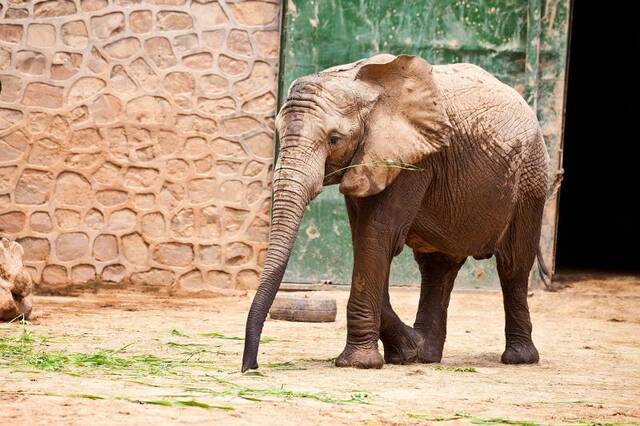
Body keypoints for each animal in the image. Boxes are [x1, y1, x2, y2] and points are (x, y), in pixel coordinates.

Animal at [241, 54, 552, 372]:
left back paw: (518, 358)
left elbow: (377, 238)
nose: (250, 366)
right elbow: (366, 242)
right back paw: (427, 354)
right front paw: (408, 351)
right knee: (437, 267)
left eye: (334, 139)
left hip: (530, 179)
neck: (360, 86)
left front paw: (359, 364)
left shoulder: (413, 161)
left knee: (513, 265)